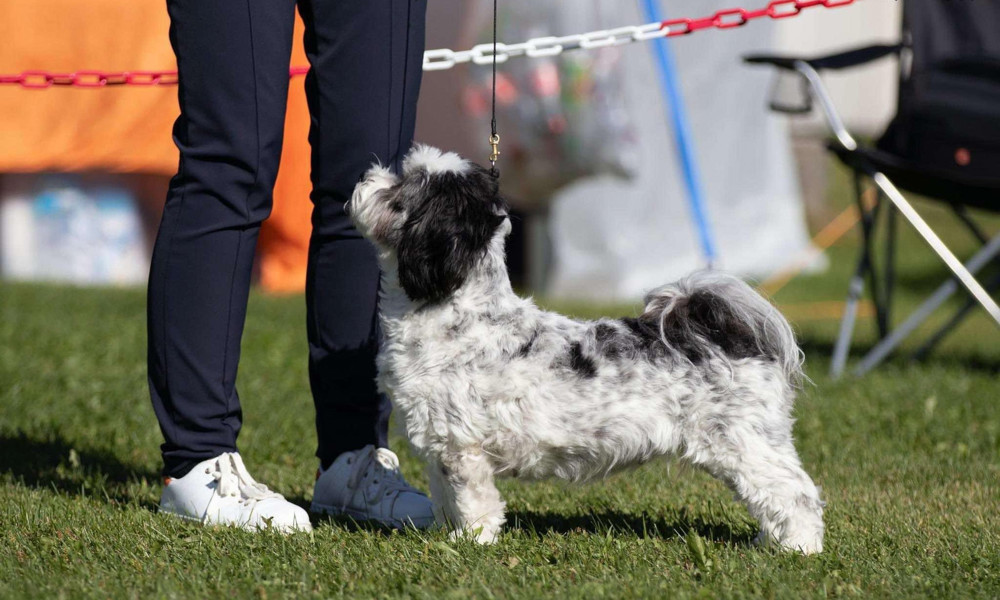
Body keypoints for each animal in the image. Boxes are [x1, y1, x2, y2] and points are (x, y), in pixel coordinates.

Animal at [348, 144, 824, 552]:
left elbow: (473, 503)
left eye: (402, 188)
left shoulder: (463, 449)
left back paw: (799, 548)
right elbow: (446, 500)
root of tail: (727, 337)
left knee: (795, 492)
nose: (365, 174)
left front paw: (472, 543)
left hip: (744, 443)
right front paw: (446, 536)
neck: (456, 315)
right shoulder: (438, 445)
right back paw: (769, 542)